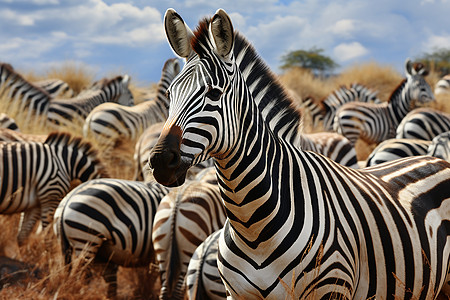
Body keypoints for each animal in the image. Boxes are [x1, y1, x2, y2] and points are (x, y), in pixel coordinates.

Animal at [149, 8, 450, 298]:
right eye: (170, 94)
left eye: (214, 93)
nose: (161, 160)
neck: (251, 225)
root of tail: (434, 157)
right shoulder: (237, 293)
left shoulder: (332, 288)